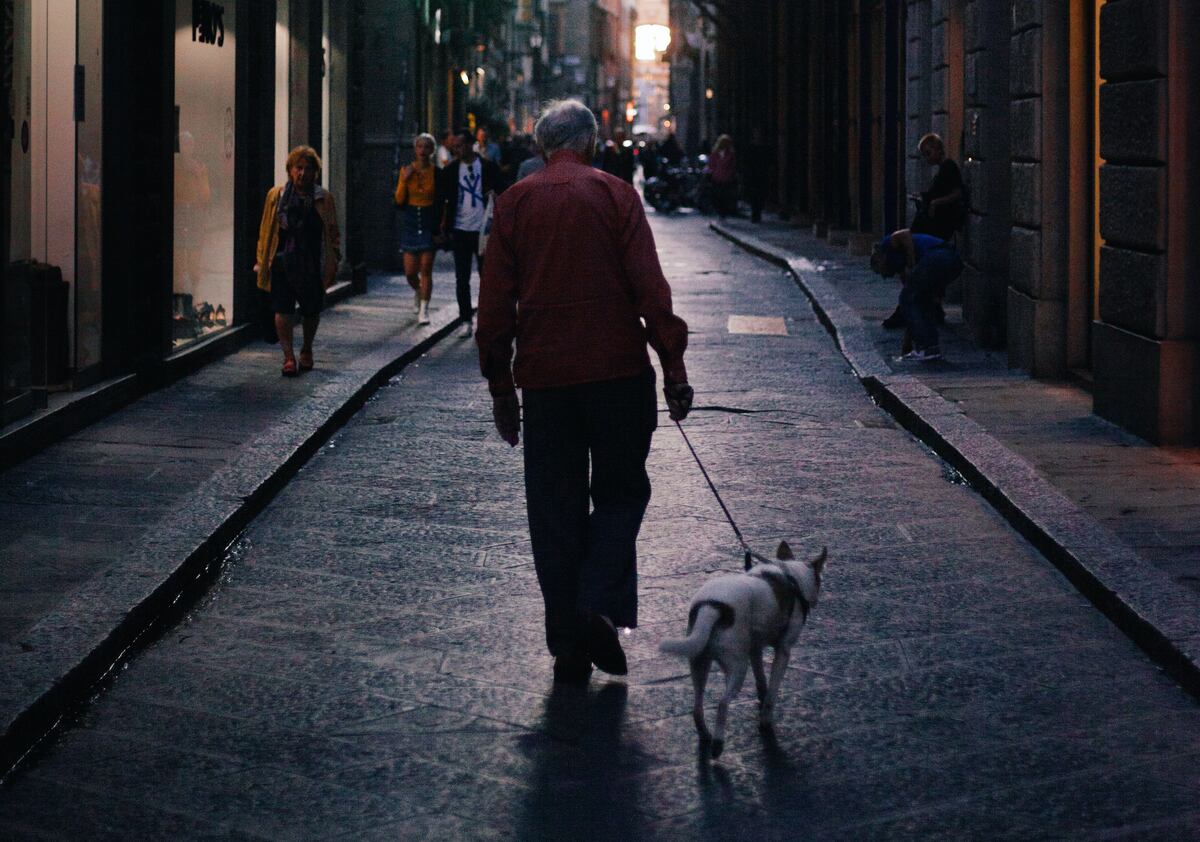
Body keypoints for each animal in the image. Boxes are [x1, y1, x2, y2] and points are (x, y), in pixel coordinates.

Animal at [657, 544, 825, 762]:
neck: (791, 574)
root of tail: (713, 606)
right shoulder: (783, 651)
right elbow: (772, 692)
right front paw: (765, 720)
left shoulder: (755, 649)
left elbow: (761, 679)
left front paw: (761, 696)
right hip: (737, 667)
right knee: (722, 704)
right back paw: (718, 744)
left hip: (698, 661)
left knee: (697, 707)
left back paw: (705, 735)